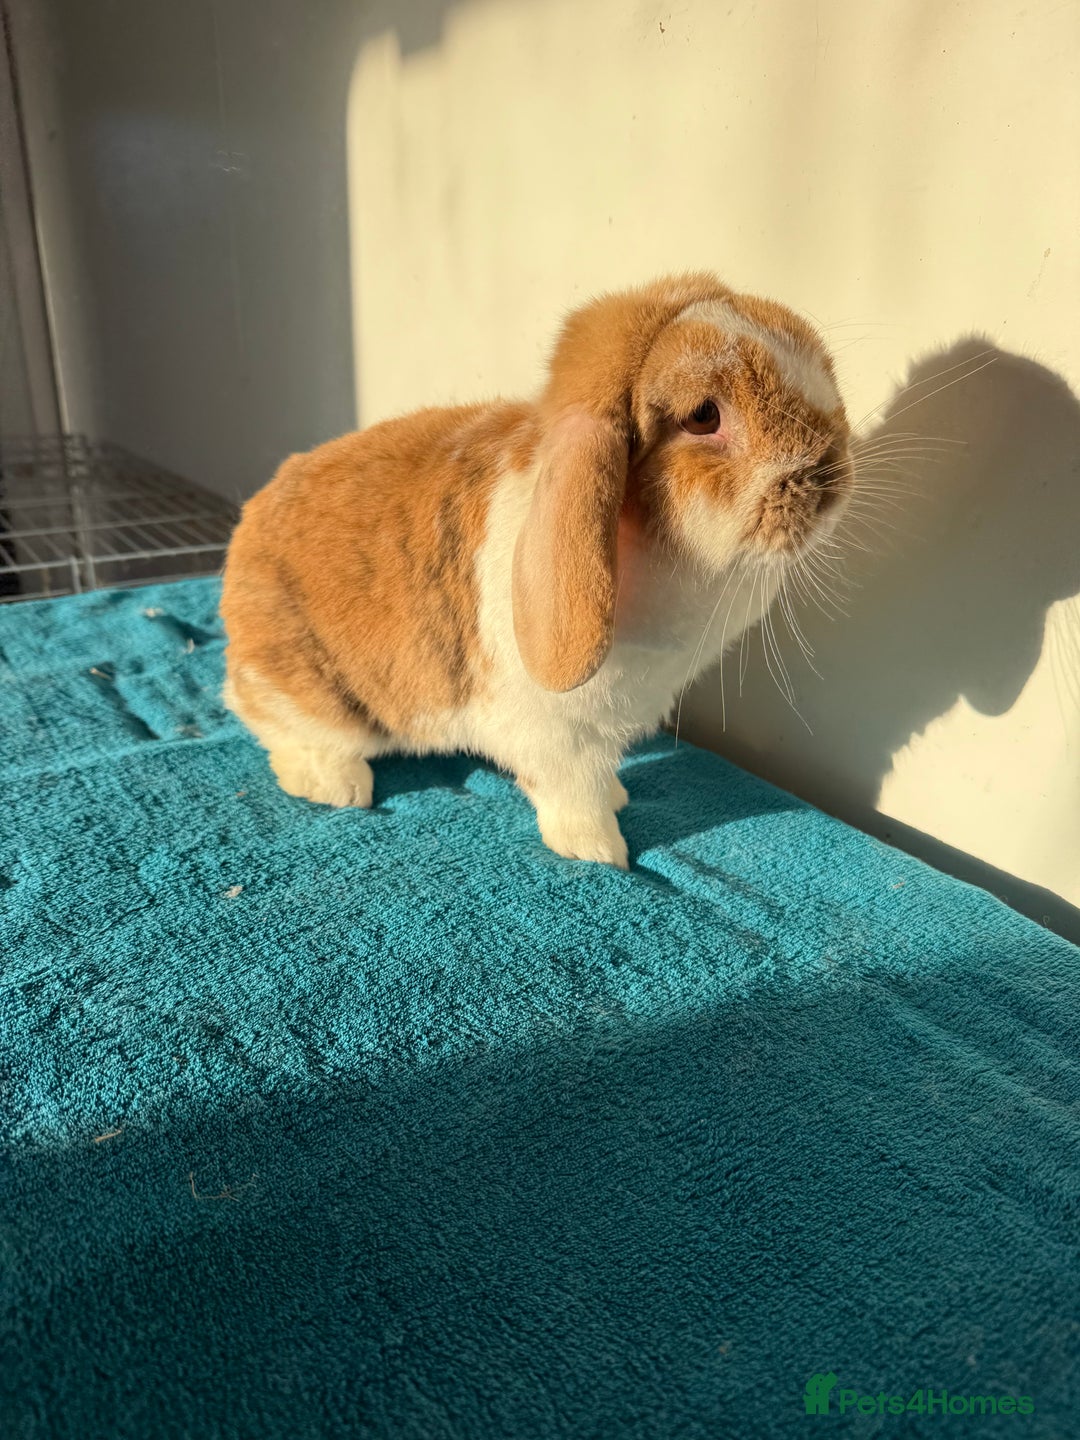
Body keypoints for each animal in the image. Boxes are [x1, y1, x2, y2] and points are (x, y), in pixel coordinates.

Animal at [220, 272, 854, 868]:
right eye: (703, 417)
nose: (830, 476)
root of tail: (245, 535)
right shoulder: (559, 738)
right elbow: (575, 795)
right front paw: (602, 851)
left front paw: (620, 797)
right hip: (311, 690)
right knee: (272, 723)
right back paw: (340, 786)